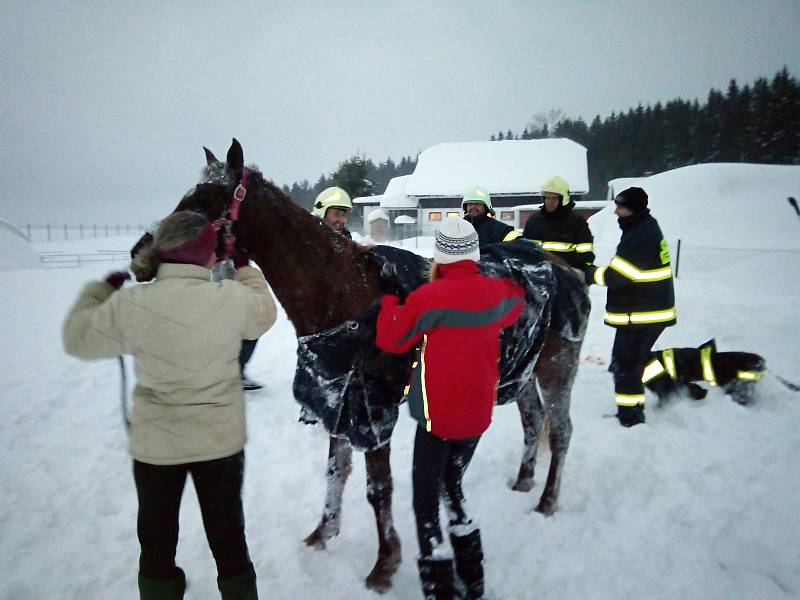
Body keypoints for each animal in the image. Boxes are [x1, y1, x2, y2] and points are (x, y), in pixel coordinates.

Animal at [156, 139, 592, 592]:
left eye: (211, 196)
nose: (149, 249)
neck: (347, 294)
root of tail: (565, 269)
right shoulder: (340, 402)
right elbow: (336, 470)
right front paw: (323, 532)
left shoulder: (373, 410)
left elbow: (378, 487)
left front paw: (385, 563)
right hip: (520, 372)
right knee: (533, 420)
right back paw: (525, 479)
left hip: (557, 369)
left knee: (561, 430)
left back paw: (547, 500)